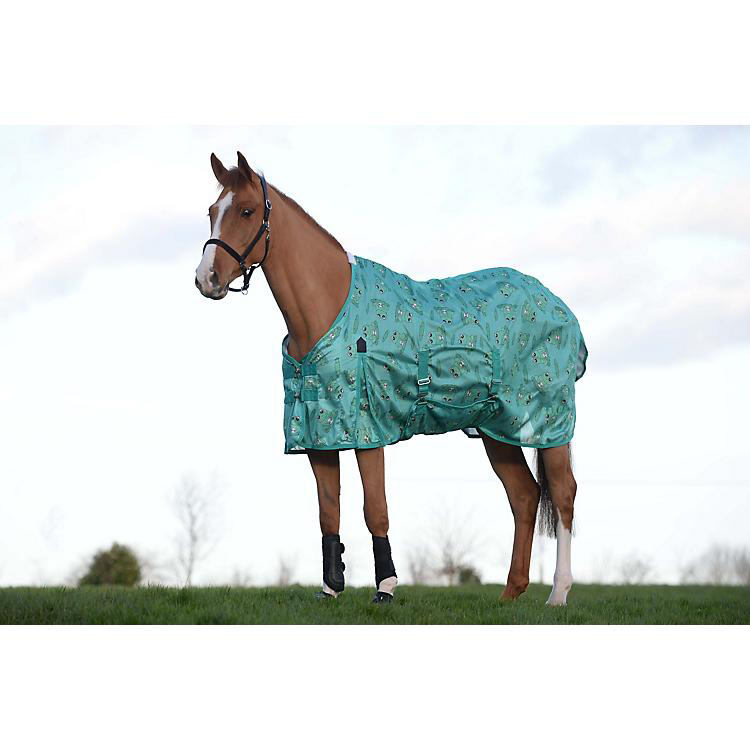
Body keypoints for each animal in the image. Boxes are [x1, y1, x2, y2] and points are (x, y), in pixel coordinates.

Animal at [195, 152, 587, 606]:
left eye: (246, 211)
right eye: (211, 212)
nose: (206, 279)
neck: (329, 306)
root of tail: (558, 305)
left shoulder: (368, 429)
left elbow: (375, 508)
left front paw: (385, 587)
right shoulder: (319, 434)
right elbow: (329, 511)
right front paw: (331, 588)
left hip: (549, 422)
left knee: (563, 493)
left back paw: (557, 593)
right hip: (495, 428)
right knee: (524, 496)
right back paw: (510, 594)